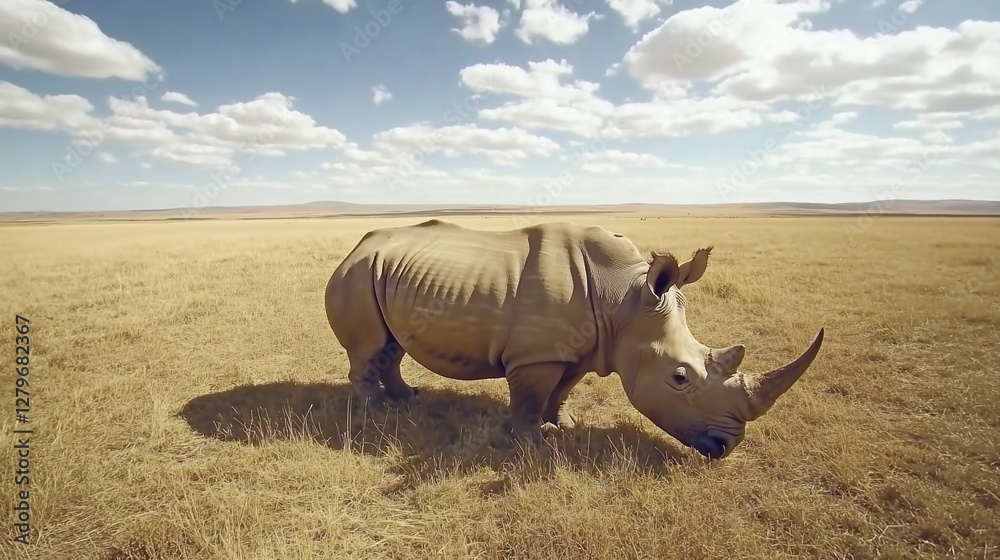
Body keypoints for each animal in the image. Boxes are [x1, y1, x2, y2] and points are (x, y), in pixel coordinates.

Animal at [323, 219, 824, 459]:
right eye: (680, 378)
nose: (726, 447)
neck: (624, 298)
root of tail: (358, 244)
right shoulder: (536, 355)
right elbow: (529, 396)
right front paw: (532, 441)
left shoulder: (584, 350)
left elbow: (563, 389)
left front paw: (563, 424)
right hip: (358, 274)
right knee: (370, 348)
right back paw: (377, 411)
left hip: (383, 272)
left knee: (391, 347)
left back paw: (406, 399)